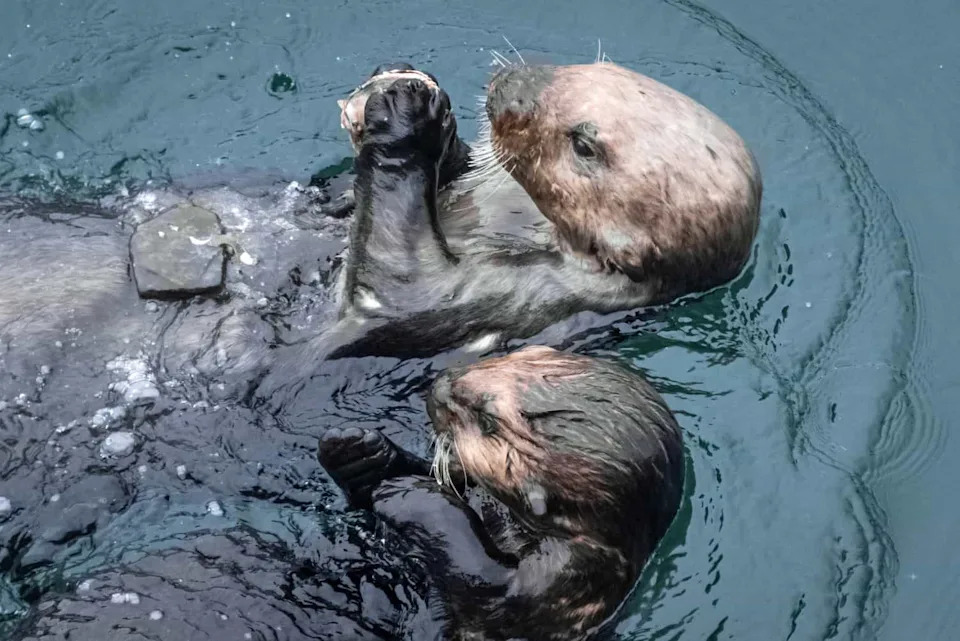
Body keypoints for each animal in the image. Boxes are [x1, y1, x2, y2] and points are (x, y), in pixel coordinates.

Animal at [270, 59, 761, 376]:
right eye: (597, 68)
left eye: (584, 146)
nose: (510, 85)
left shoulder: (525, 296)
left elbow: (399, 287)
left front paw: (402, 116)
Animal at [316, 345, 685, 641]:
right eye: (525, 354)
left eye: (487, 422)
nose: (438, 384)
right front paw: (360, 453)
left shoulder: (571, 582)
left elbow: (482, 579)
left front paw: (411, 493)